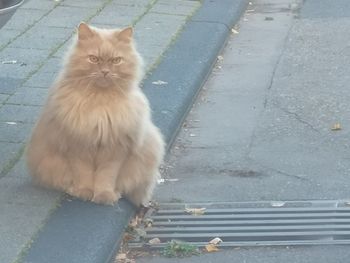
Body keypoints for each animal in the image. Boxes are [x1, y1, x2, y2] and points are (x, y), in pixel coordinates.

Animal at [26, 23, 165, 206]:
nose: (105, 71)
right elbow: (83, 174)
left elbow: (106, 177)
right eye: (94, 59)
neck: (99, 103)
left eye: (116, 60)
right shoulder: (78, 146)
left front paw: (104, 196)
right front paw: (84, 192)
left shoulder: (114, 150)